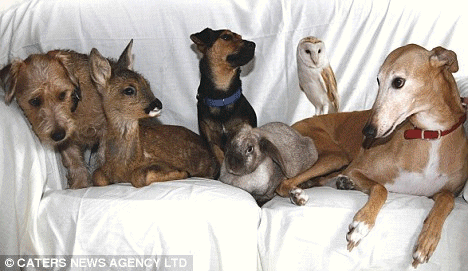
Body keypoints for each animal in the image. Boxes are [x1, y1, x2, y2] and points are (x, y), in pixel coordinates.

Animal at [0, 49, 106, 189]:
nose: (58, 135)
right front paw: (80, 184)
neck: (75, 107)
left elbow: (104, 155)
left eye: (62, 94)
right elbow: (74, 161)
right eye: (34, 101)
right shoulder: (67, 141)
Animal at [89, 45, 219, 189]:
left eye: (147, 84)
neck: (123, 165)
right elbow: (97, 177)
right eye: (129, 90)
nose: (158, 104)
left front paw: (182, 173)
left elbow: (138, 176)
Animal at [190, 28, 258, 166]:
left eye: (240, 37)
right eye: (226, 37)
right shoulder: (212, 141)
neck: (222, 97)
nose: (253, 44)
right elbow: (221, 161)